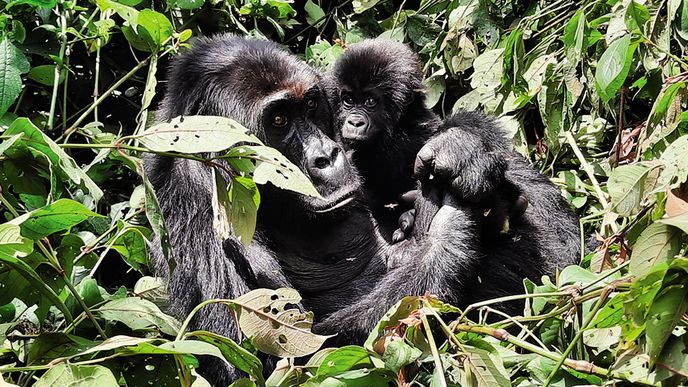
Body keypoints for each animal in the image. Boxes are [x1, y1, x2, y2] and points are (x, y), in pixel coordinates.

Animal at [328, 38, 528, 239]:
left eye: (370, 102)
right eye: (348, 100)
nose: (354, 123)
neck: (397, 130)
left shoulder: (422, 130)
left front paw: (465, 154)